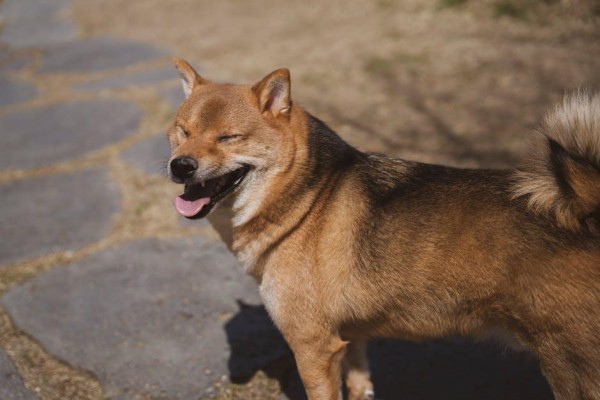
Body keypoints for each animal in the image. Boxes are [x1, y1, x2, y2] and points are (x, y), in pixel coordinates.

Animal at [165, 57, 600, 400]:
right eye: (183, 130)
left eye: (228, 137)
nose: (180, 165)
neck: (307, 202)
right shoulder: (350, 339)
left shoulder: (314, 349)